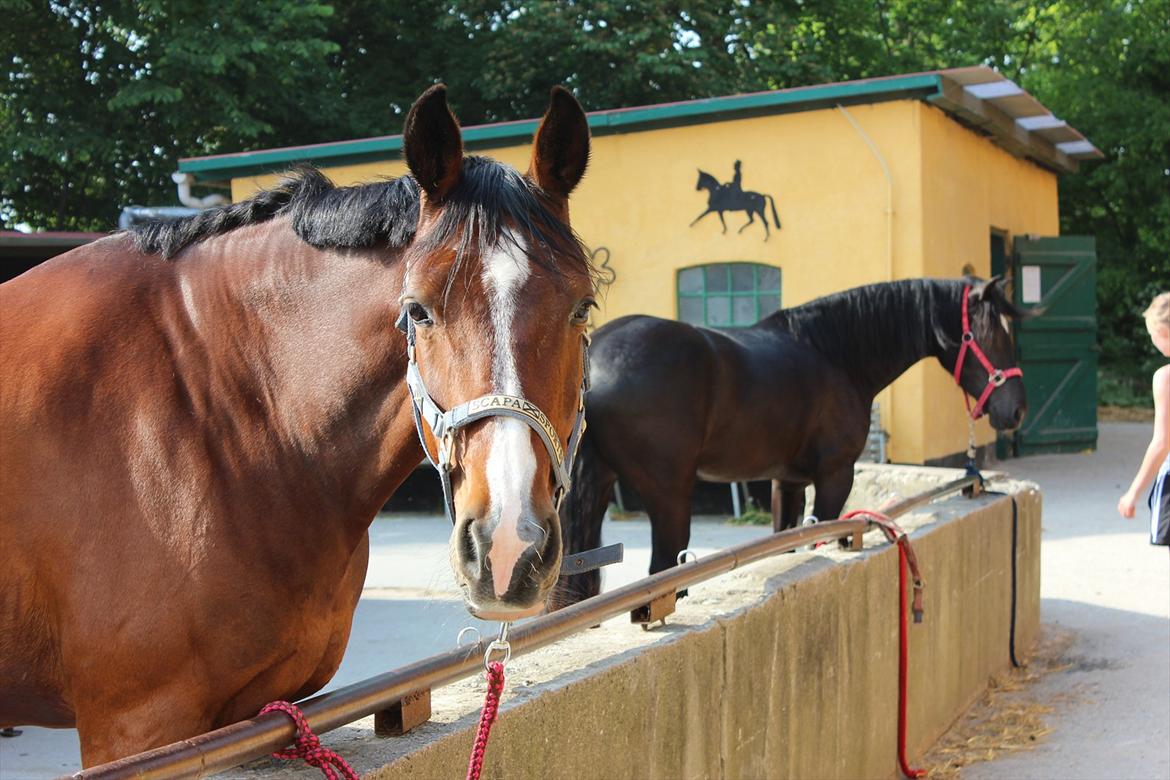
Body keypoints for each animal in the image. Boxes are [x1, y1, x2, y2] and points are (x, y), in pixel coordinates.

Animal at [555, 277, 1027, 605]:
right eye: (991, 335)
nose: (1016, 411)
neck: (836, 354)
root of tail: (596, 358)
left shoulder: (789, 482)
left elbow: (786, 543)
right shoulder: (835, 476)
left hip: (598, 490)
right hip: (670, 498)